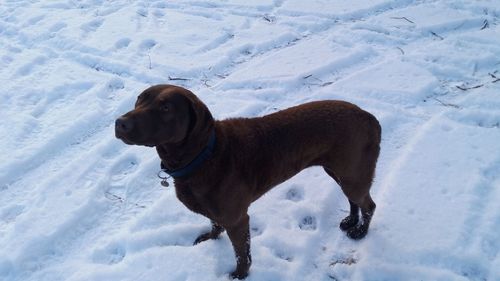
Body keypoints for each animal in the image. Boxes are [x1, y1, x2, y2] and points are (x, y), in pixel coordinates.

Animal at [116, 83, 382, 278]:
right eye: (139, 99)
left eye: (166, 108)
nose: (120, 123)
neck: (203, 155)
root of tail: (370, 117)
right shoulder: (217, 210)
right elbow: (215, 223)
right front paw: (210, 238)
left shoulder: (238, 219)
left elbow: (241, 253)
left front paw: (240, 275)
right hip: (340, 171)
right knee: (354, 200)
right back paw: (350, 221)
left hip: (352, 172)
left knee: (369, 204)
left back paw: (360, 231)